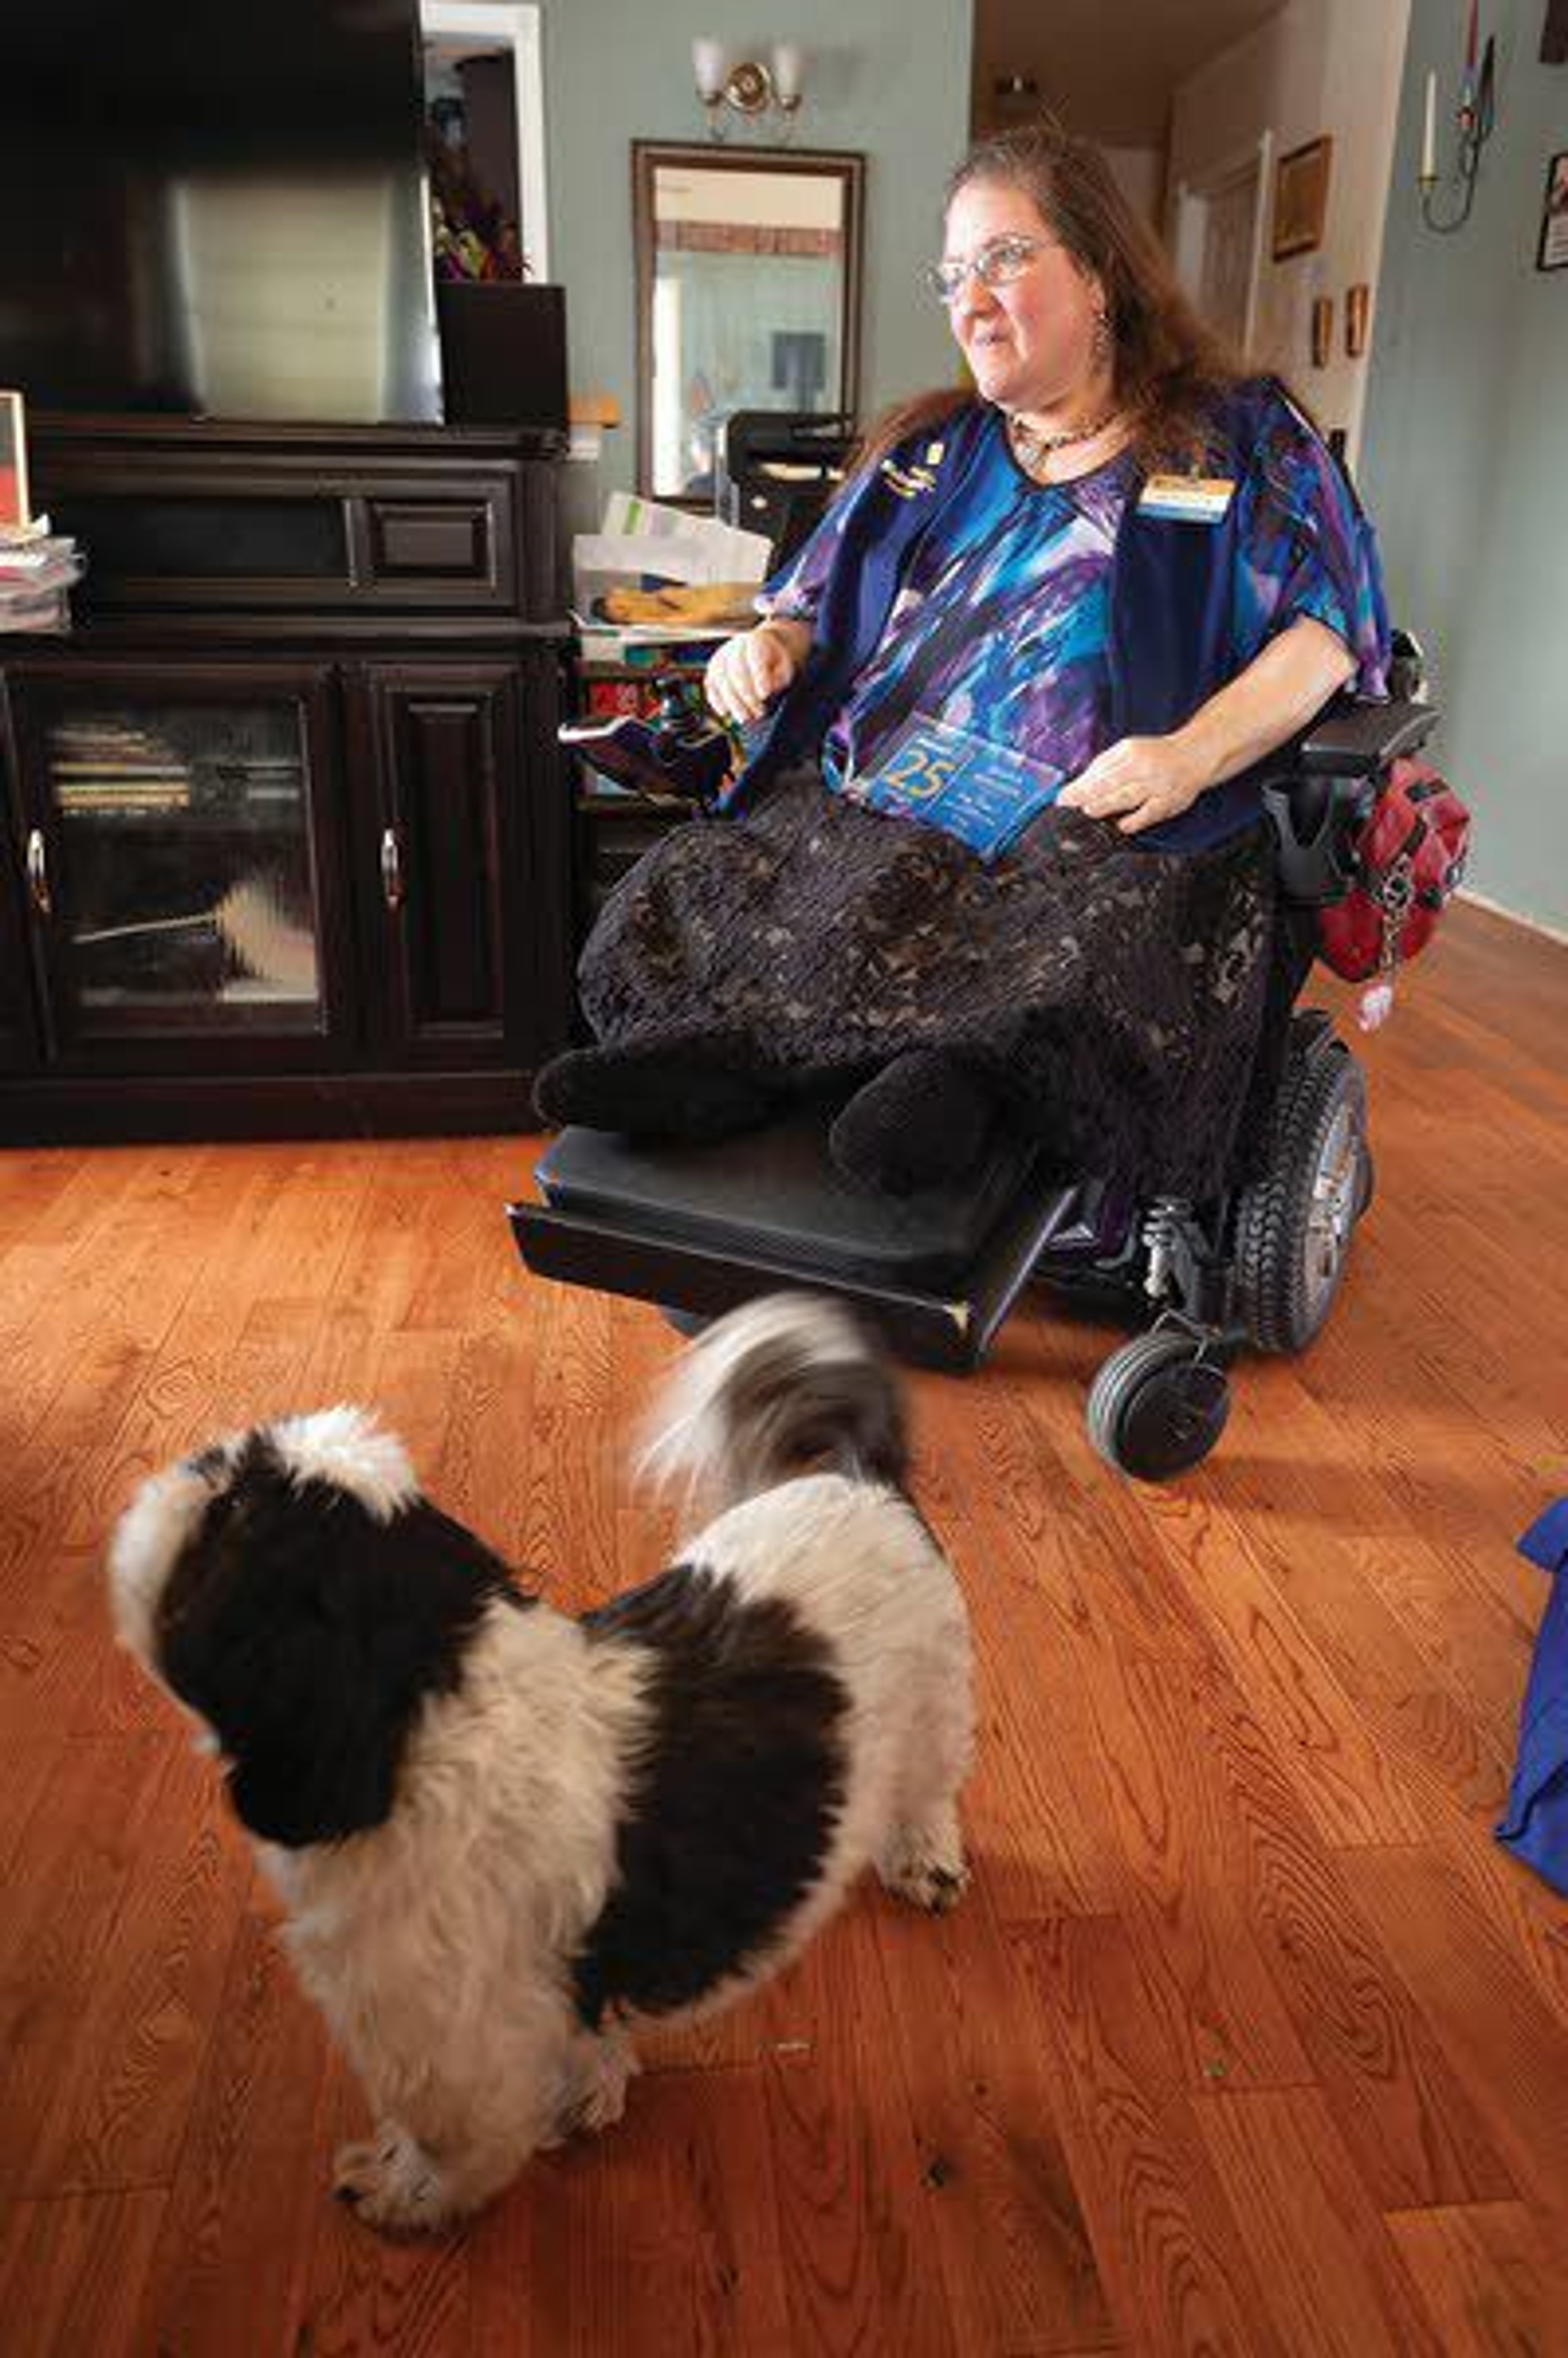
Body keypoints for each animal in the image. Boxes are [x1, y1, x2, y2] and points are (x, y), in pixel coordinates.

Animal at [107, 1302, 967, 2235]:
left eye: (231, 1515)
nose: (207, 1454)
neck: (427, 1712)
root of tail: (861, 1477)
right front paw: (589, 2084)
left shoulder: (438, 2040)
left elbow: (450, 2144)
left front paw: (401, 2188)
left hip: (933, 1709)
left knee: (929, 1791)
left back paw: (925, 1857)